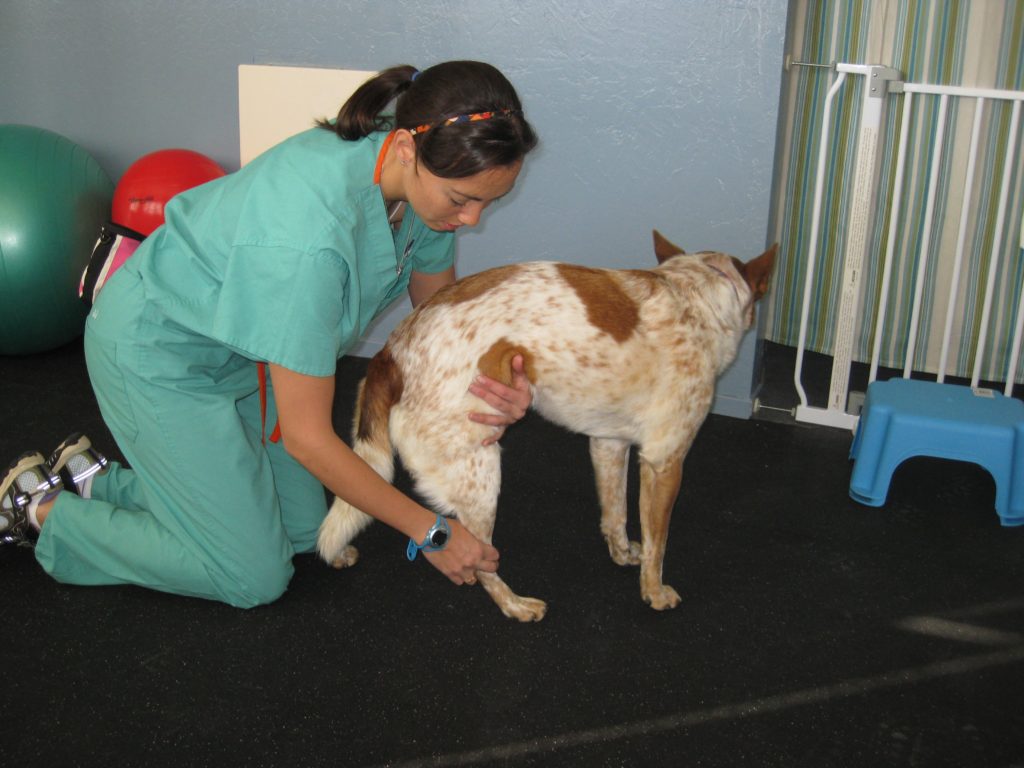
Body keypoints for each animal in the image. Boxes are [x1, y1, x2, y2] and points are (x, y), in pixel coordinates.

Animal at [319, 231, 774, 622]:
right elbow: (658, 545)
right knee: (479, 561)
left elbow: (615, 514)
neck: (693, 295)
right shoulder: (665, 461)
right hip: (481, 473)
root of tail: (391, 353)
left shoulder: (609, 443)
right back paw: (515, 604)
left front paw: (623, 554)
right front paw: (654, 591)